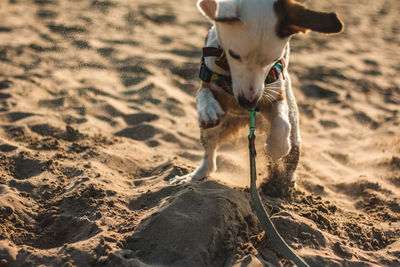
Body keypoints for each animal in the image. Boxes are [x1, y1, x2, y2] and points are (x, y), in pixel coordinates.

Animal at [170, 0, 342, 187]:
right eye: (234, 55)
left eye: (274, 59)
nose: (249, 103)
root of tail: (244, 119)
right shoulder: (207, 79)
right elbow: (204, 94)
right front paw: (209, 109)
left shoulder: (276, 95)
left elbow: (282, 122)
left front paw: (277, 147)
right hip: (210, 131)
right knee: (209, 159)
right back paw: (194, 176)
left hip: (294, 134)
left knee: (291, 155)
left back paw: (285, 183)